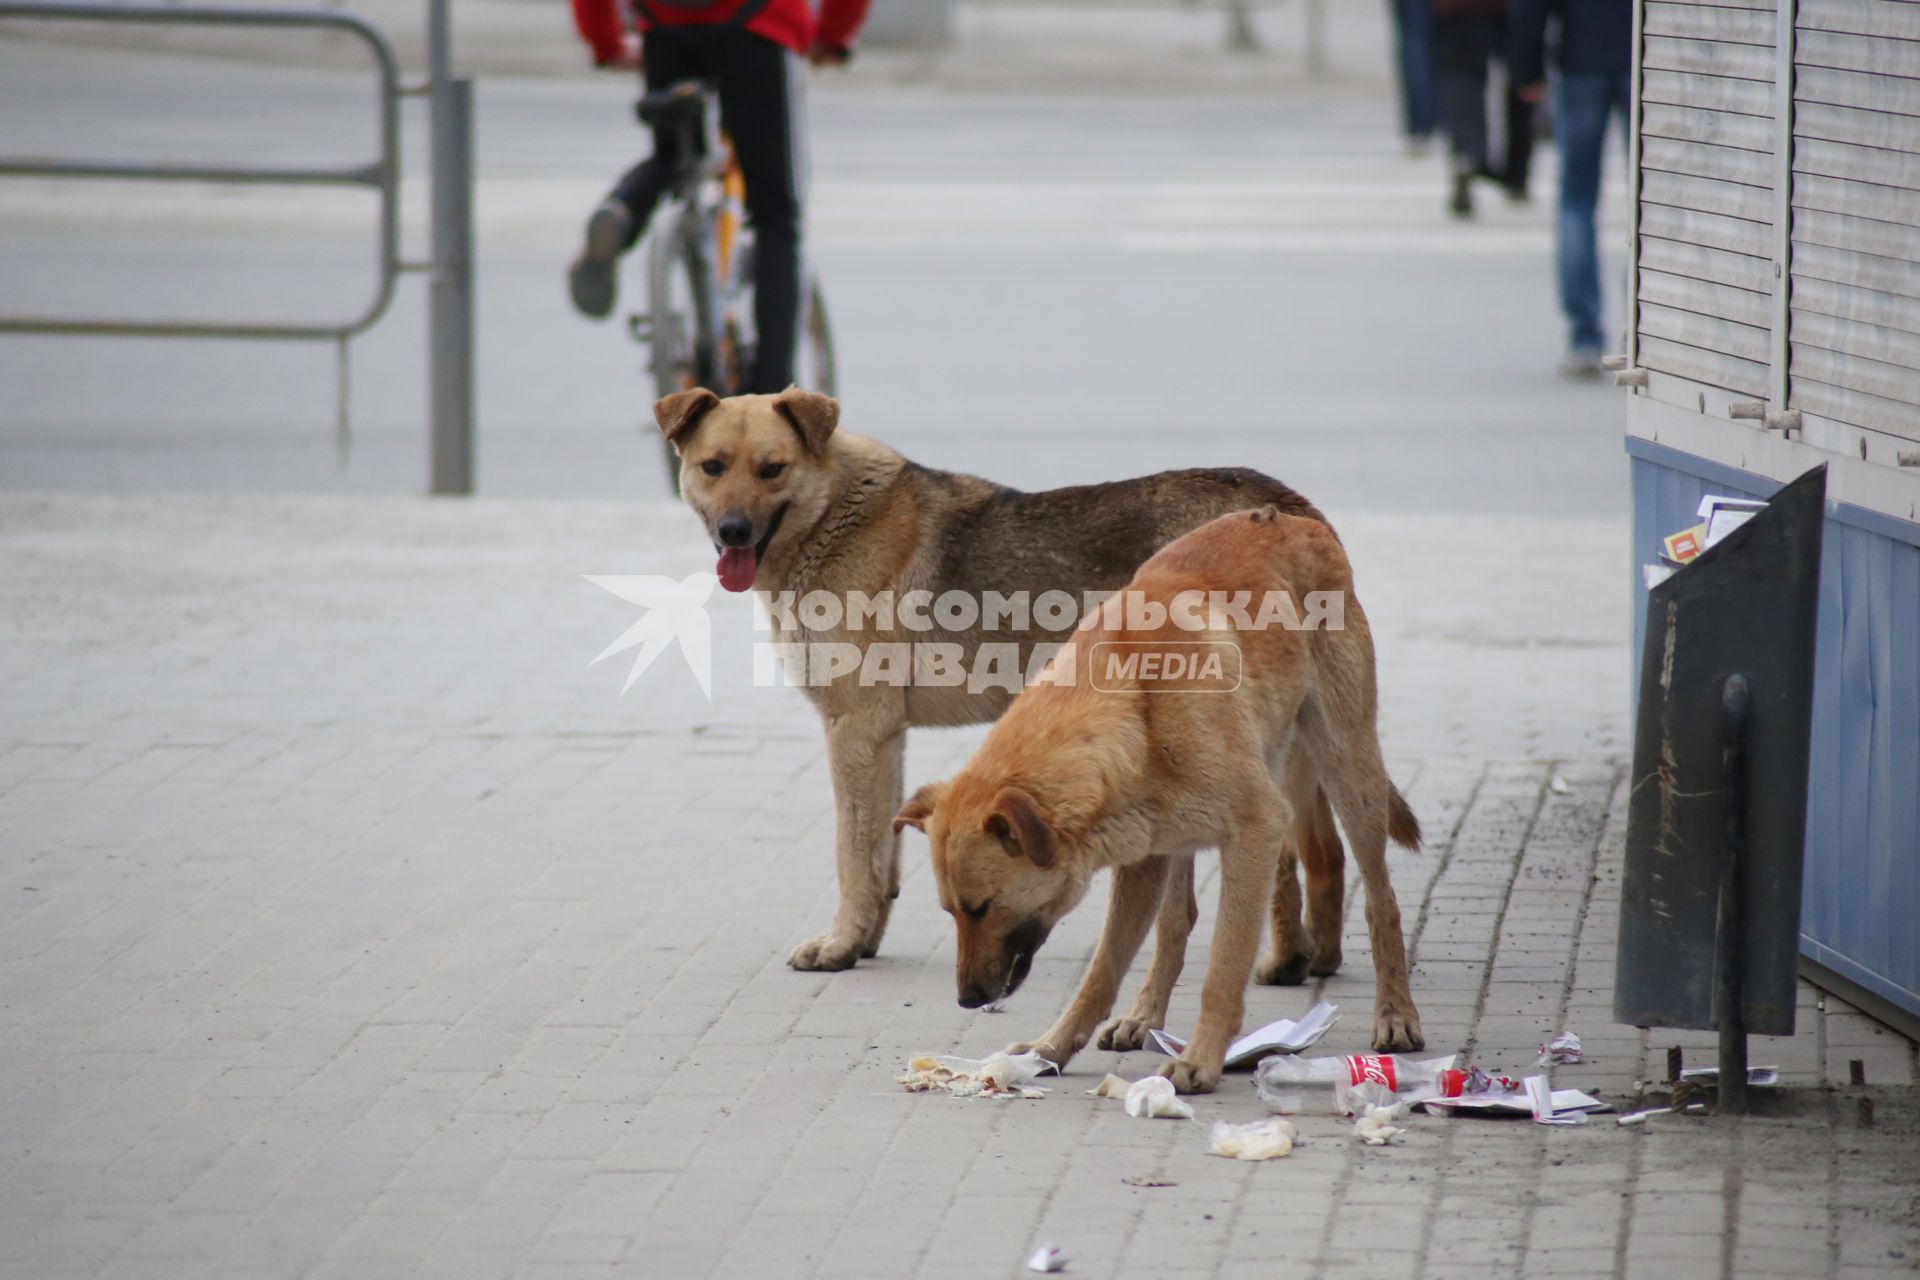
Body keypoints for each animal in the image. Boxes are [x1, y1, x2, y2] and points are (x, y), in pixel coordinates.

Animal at [890, 506, 1420, 1090]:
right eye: (951, 912)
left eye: (980, 908)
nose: (967, 999)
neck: (1135, 703)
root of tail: (1295, 519)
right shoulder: (1141, 859)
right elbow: (1103, 970)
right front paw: (1054, 1047)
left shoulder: (1256, 831)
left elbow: (1225, 966)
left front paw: (1202, 1057)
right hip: (1176, 836)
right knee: (1175, 922)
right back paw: (1144, 1016)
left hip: (1349, 767)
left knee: (1381, 900)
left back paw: (1396, 1014)